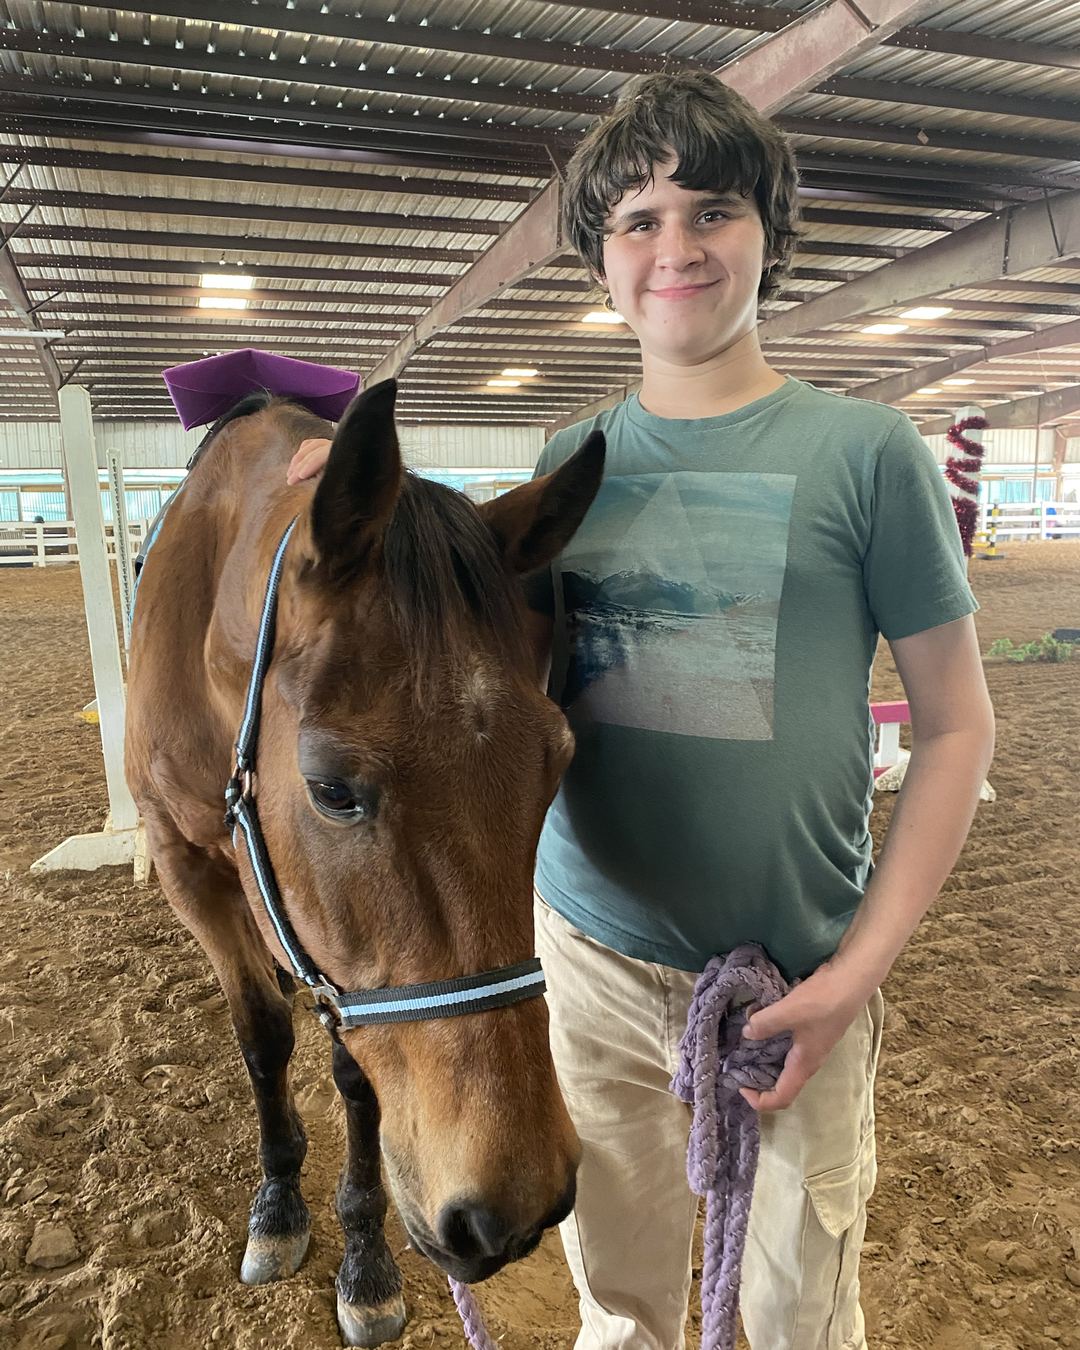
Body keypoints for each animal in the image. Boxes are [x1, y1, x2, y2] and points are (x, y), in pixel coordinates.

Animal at [125, 379, 606, 1346]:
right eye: (332, 790)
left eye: (558, 762)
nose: (517, 1208)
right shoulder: (182, 863)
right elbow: (262, 1034)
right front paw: (278, 1205)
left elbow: (358, 1073)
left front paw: (364, 1256)